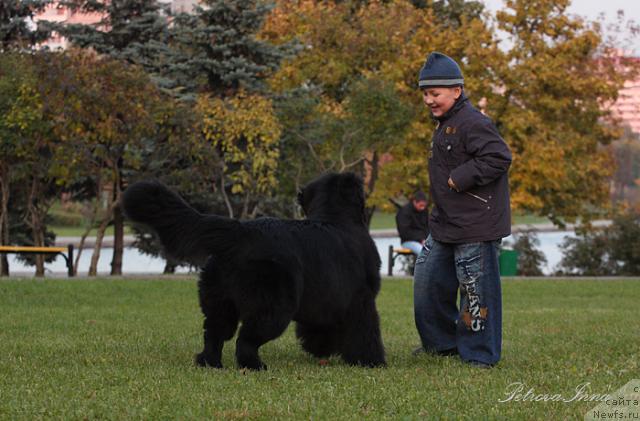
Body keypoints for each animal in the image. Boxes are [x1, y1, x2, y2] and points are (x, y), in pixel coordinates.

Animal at [120, 172, 384, 370]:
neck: (337, 217)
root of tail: (241, 232)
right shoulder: (361, 299)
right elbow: (366, 331)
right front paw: (371, 360)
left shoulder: (325, 300)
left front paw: (321, 349)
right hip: (273, 306)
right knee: (246, 338)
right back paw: (254, 365)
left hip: (219, 300)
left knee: (214, 333)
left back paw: (209, 363)